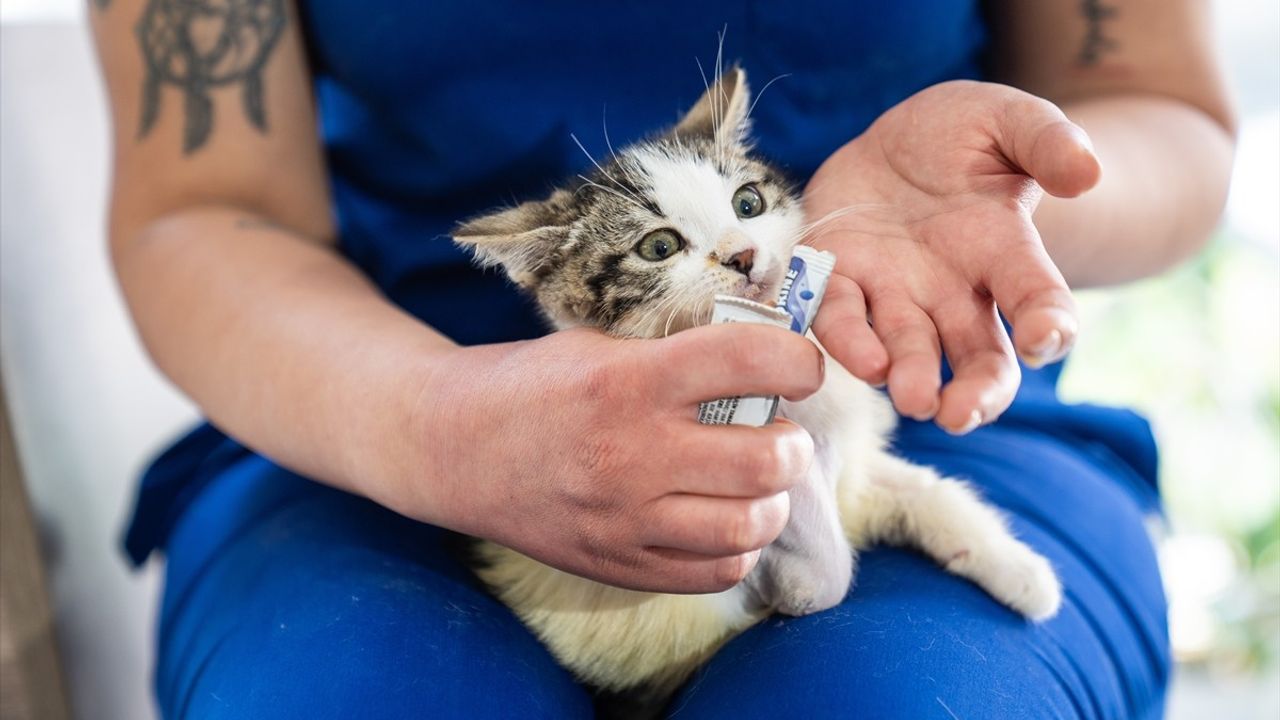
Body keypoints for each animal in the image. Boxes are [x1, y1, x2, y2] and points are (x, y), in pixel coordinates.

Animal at [450, 67, 1059, 707]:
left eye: (749, 203)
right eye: (658, 247)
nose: (741, 255)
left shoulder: (857, 466)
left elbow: (926, 490)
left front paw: (1020, 570)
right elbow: (821, 576)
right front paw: (795, 510)